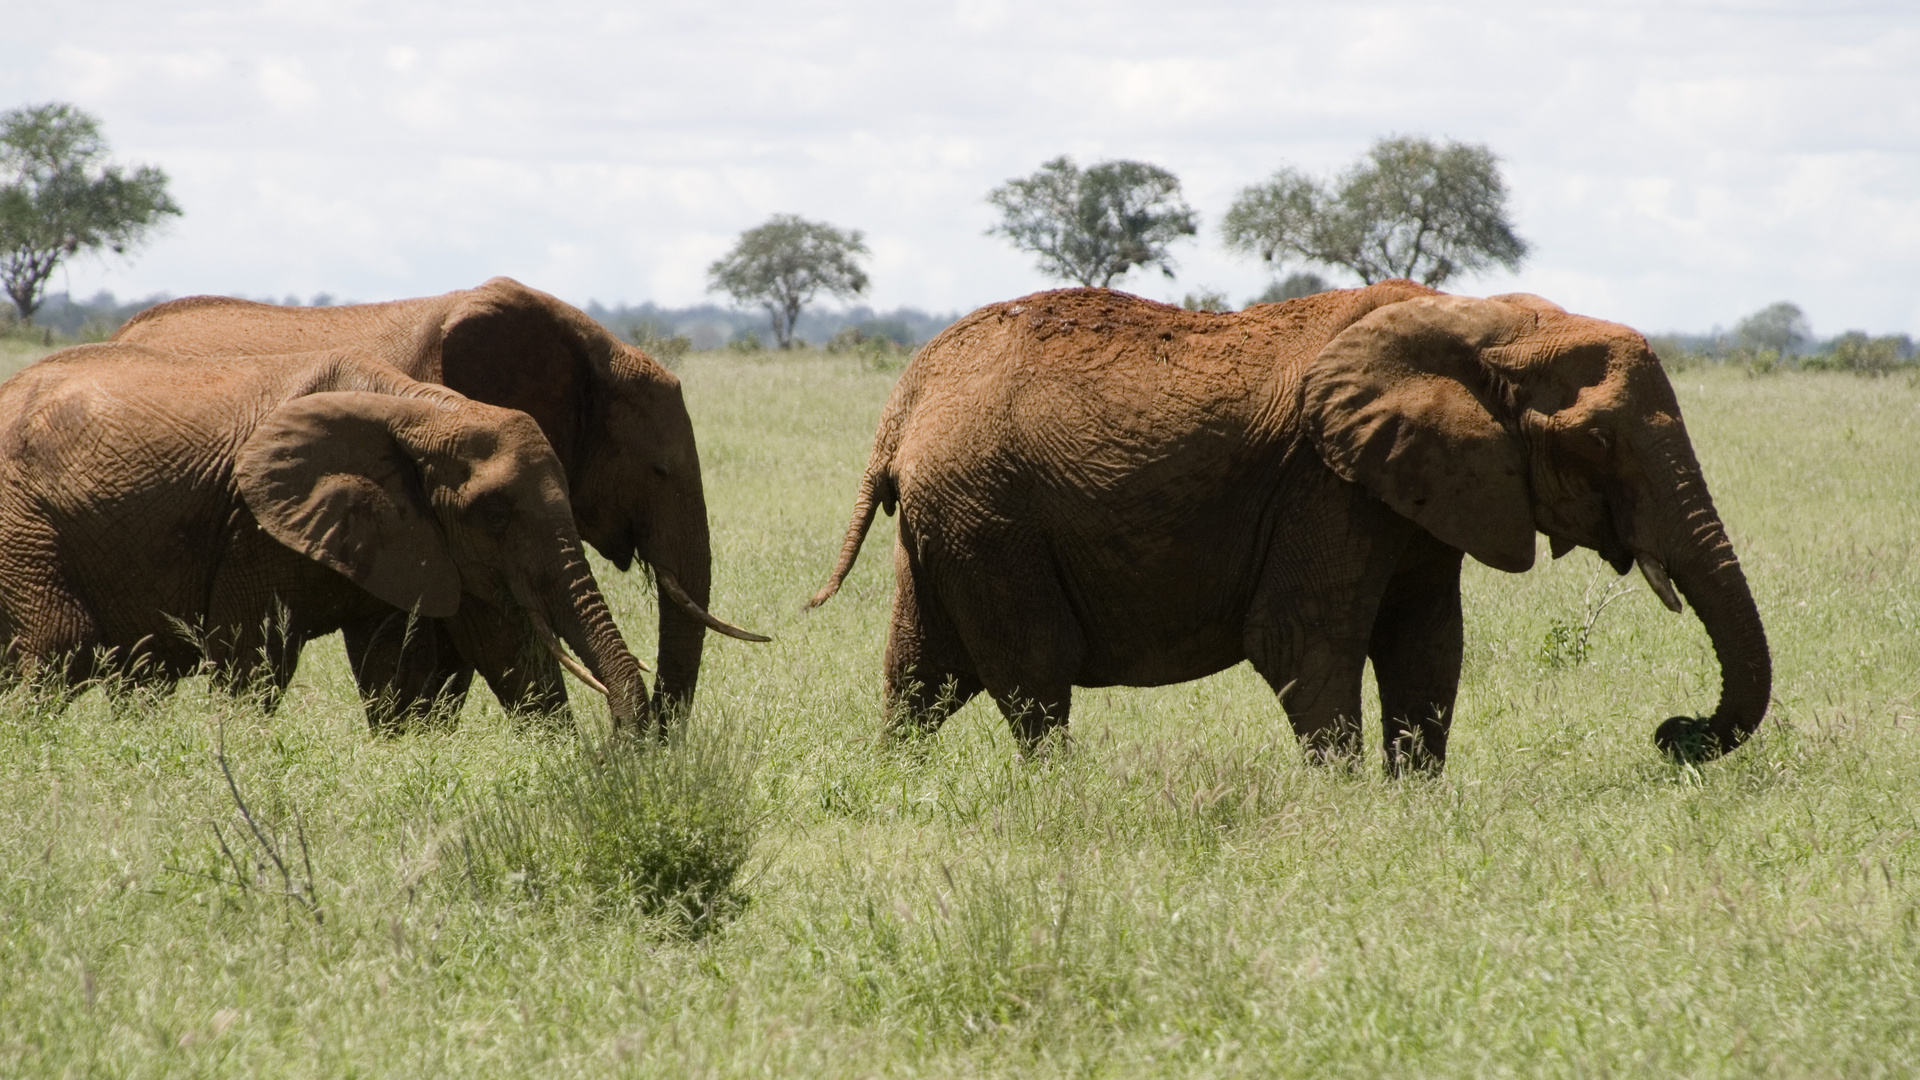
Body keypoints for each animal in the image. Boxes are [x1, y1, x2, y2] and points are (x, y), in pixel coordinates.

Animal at [0, 336, 652, 722]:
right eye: (494, 512)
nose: (619, 753)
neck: (421, 407)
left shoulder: (411, 535)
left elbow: (435, 658)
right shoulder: (252, 525)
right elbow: (250, 654)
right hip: (21, 521)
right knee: (62, 646)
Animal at [810, 276, 1766, 764]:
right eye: (1598, 439)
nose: (1672, 735)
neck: (1484, 321)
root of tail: (906, 396)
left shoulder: (1423, 488)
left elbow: (1429, 647)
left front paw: (1413, 805)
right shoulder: (1326, 481)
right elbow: (1304, 641)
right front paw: (1346, 814)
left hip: (952, 521)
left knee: (920, 678)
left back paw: (897, 784)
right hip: (990, 518)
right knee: (1034, 683)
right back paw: (1060, 799)